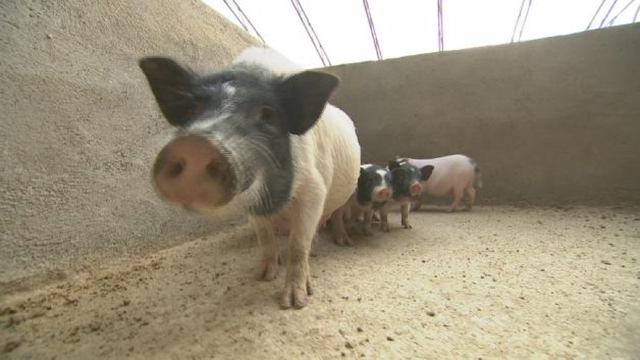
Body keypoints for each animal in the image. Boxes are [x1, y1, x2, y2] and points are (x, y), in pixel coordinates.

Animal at [139, 46, 360, 308]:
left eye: (267, 113)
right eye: (192, 108)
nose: (195, 146)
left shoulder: (314, 188)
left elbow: (298, 244)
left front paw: (294, 302)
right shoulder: (252, 203)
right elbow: (264, 237)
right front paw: (263, 276)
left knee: (334, 216)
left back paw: (342, 242)